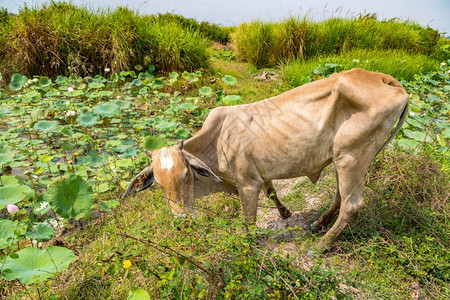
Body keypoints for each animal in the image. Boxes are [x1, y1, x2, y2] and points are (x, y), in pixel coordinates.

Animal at [122, 69, 408, 254]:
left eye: (186, 176)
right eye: (159, 185)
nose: (181, 220)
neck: (217, 141)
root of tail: (385, 80)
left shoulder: (247, 184)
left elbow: (248, 221)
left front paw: (244, 247)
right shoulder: (261, 174)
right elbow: (272, 191)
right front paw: (285, 213)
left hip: (351, 156)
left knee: (352, 204)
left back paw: (320, 246)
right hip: (344, 160)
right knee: (340, 195)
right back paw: (318, 223)